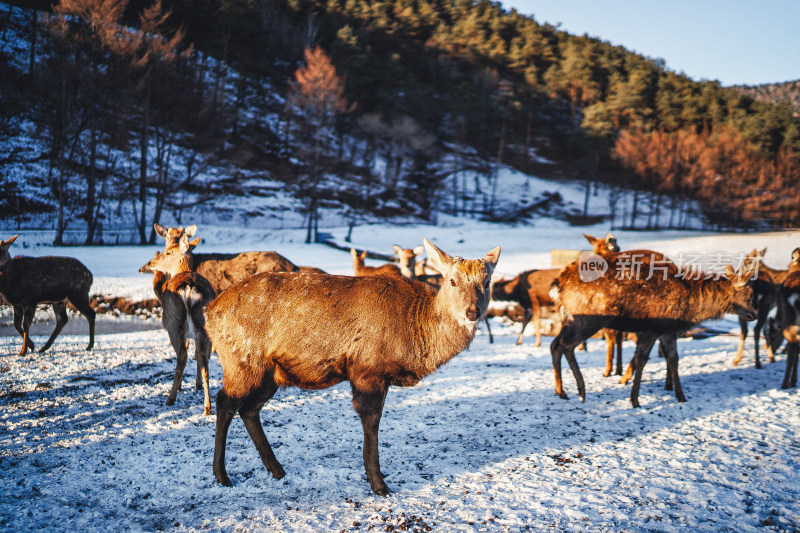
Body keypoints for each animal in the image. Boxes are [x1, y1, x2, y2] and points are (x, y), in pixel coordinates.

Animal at [141, 234, 216, 416]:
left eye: (168, 252)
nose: (152, 262)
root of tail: (189, 288)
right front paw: (196, 385)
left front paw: (182, 387)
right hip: (203, 327)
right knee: (204, 360)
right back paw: (207, 407)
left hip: (173, 323)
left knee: (182, 355)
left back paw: (170, 398)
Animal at [205, 238, 500, 494]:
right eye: (452, 280)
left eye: (487, 282)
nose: (472, 312)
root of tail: (210, 311)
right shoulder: (367, 369)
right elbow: (371, 421)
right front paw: (379, 484)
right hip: (241, 359)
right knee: (225, 401)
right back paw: (222, 475)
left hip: (269, 373)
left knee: (249, 409)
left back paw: (276, 469)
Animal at [552, 249, 756, 408]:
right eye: (749, 293)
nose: (753, 314)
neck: (691, 307)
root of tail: (557, 283)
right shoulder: (652, 328)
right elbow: (642, 359)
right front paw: (635, 399)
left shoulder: (667, 331)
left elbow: (673, 359)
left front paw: (680, 396)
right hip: (587, 319)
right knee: (566, 345)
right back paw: (581, 391)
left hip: (567, 318)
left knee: (554, 345)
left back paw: (561, 391)